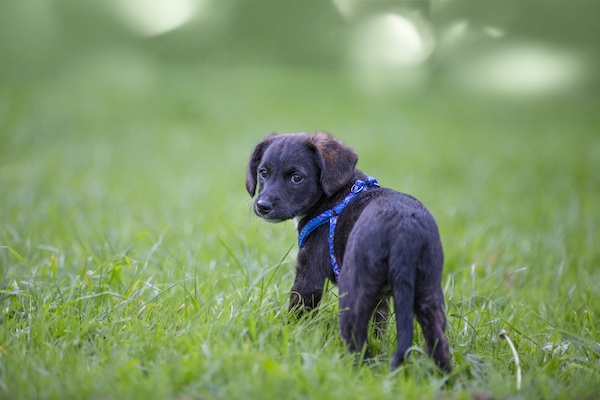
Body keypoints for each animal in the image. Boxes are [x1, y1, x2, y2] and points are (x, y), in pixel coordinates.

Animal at [245, 131, 450, 372]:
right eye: (263, 173)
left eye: (297, 178)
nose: (262, 206)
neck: (334, 195)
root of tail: (403, 229)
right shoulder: (380, 297)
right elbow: (379, 325)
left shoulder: (309, 277)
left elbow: (297, 312)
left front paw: (290, 337)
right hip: (428, 292)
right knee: (438, 340)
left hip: (352, 290)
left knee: (356, 339)